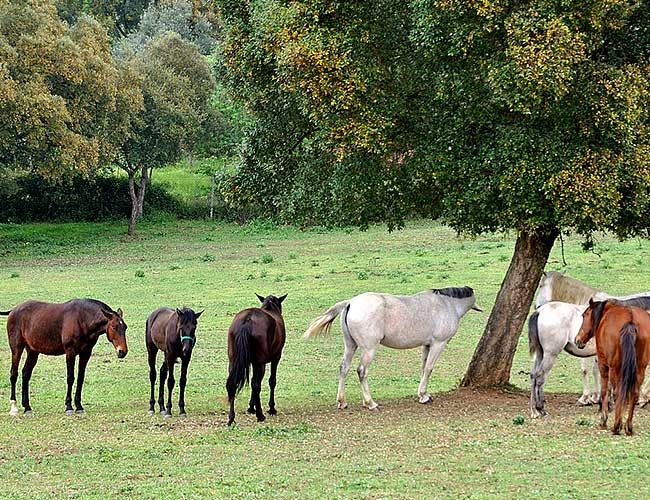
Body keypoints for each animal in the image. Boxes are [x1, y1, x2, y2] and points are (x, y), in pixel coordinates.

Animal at [226, 294, 287, 426]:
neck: (270, 308)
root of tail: (248, 319)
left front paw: (251, 407)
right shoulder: (276, 358)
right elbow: (272, 381)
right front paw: (271, 408)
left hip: (233, 360)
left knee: (233, 384)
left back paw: (231, 418)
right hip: (260, 363)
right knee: (256, 385)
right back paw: (260, 415)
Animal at [304, 287, 481, 410]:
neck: (446, 303)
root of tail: (350, 303)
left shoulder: (427, 345)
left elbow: (423, 368)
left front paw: (422, 393)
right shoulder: (438, 343)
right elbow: (429, 368)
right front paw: (424, 396)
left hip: (350, 345)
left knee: (344, 368)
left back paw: (342, 402)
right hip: (369, 349)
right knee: (361, 371)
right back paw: (370, 403)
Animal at [575, 299, 650, 435]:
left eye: (584, 315)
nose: (577, 339)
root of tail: (630, 319)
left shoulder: (604, 366)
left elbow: (605, 391)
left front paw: (603, 420)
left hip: (615, 368)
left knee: (618, 392)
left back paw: (616, 426)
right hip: (640, 368)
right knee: (634, 393)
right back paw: (628, 427)